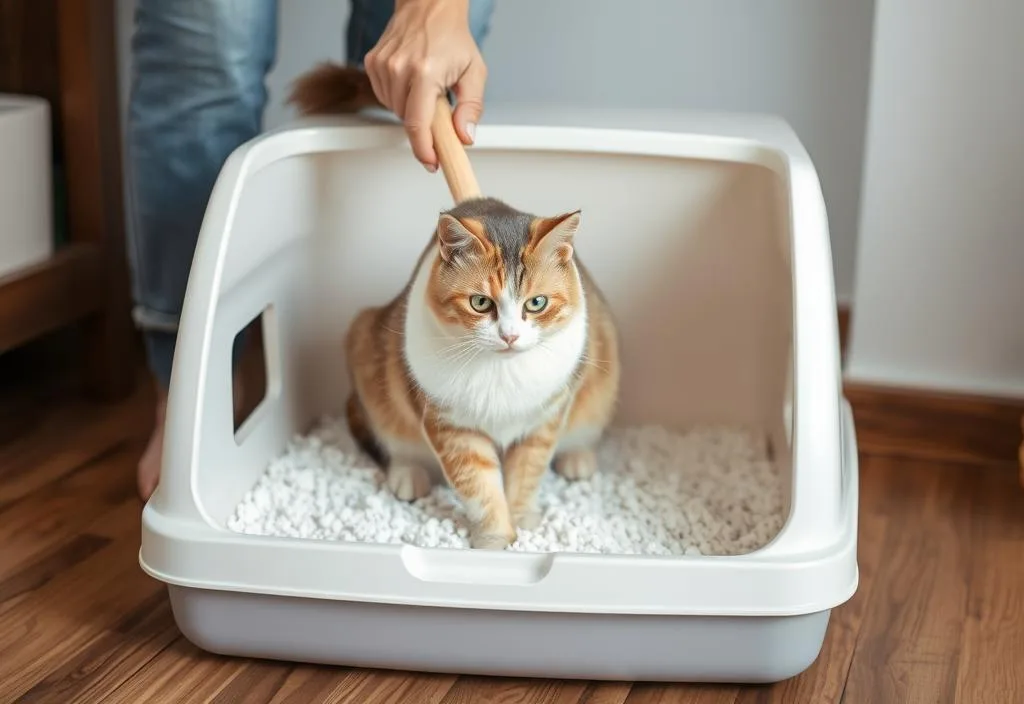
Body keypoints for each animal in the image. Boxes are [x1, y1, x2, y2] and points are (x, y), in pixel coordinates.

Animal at [290, 63, 622, 548]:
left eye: (537, 303)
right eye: (481, 302)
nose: (510, 335)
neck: (502, 375)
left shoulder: (544, 419)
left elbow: (525, 475)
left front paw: (523, 522)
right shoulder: (451, 425)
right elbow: (479, 484)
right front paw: (496, 539)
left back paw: (578, 458)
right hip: (365, 343)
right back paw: (407, 474)